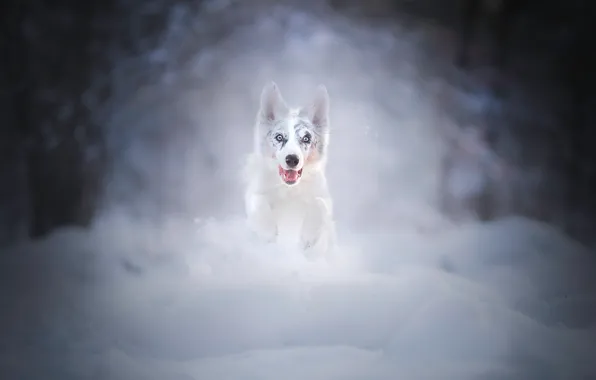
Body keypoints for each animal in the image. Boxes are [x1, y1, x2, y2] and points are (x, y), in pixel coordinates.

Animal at [242, 83, 336, 258]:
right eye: (279, 137)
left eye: (306, 138)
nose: (292, 159)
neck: (290, 190)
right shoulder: (254, 194)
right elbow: (259, 202)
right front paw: (268, 233)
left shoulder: (324, 199)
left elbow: (319, 205)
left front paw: (308, 236)